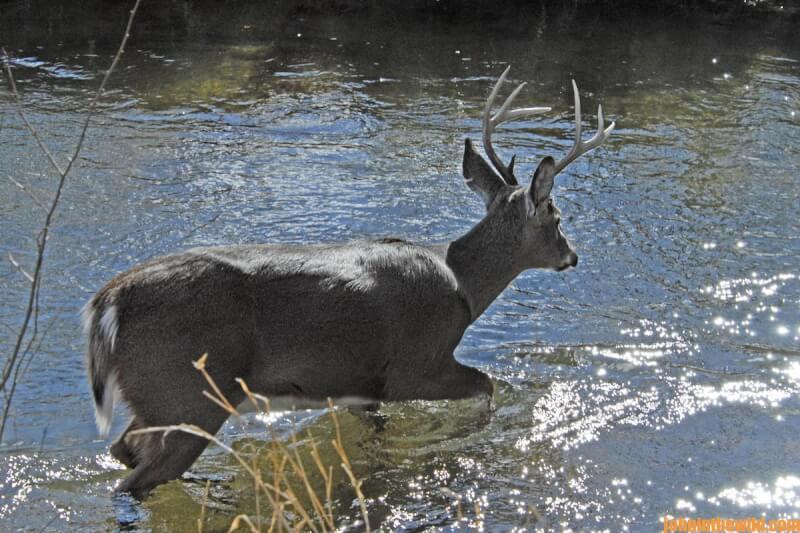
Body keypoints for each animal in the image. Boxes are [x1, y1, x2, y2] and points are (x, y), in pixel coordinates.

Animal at [82, 67, 614, 498]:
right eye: (557, 217)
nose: (572, 256)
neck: (463, 284)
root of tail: (106, 304)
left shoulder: (361, 388)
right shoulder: (415, 365)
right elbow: (488, 384)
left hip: (158, 396)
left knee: (123, 450)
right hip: (189, 393)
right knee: (135, 479)